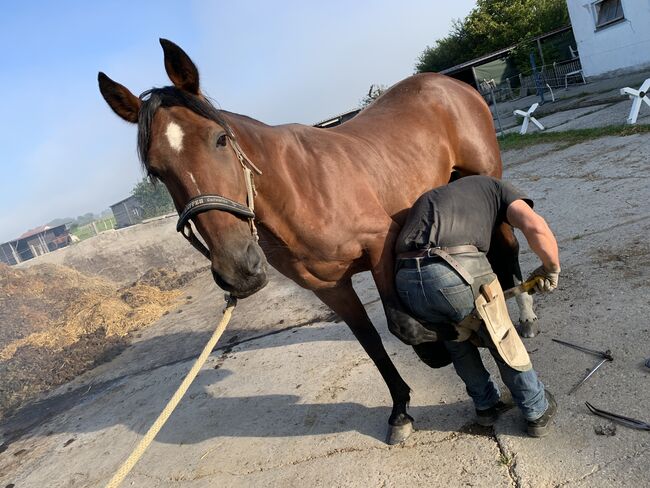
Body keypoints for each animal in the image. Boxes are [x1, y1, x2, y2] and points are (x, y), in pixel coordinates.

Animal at [98, 40, 536, 444]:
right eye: (156, 171)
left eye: (220, 139)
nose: (238, 269)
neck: (298, 190)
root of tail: (449, 83)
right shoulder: (328, 287)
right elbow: (372, 342)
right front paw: (401, 410)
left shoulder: (381, 243)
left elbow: (404, 325)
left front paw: (445, 346)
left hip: (486, 180)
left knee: (507, 248)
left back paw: (526, 318)